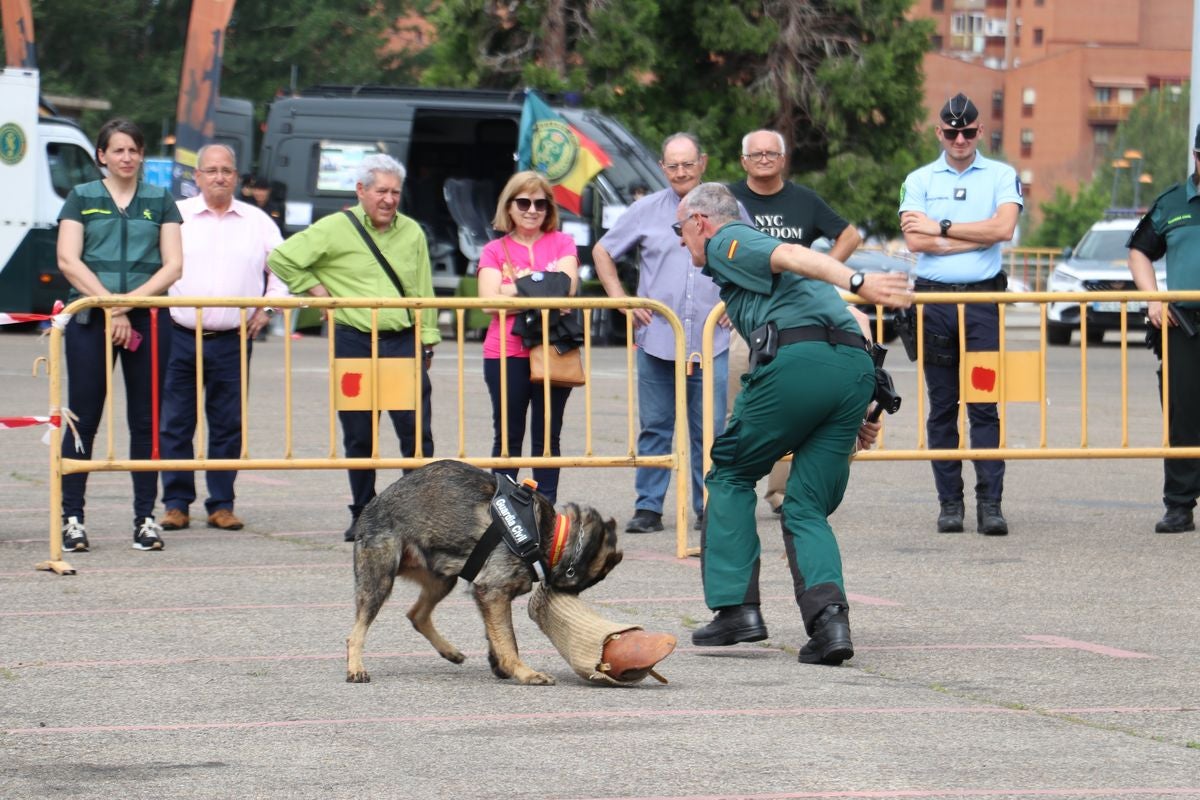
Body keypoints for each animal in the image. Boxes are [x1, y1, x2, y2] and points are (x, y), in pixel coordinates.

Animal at [345, 460, 619, 686]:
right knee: (356, 633)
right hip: (380, 580)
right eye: (586, 583)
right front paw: (524, 672)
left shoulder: (487, 596)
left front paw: (499, 664)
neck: (548, 535)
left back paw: (449, 651)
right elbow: (508, 641)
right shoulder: (493, 592)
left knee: (416, 615)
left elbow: (496, 635)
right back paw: (356, 668)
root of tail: (370, 506)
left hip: (443, 578)